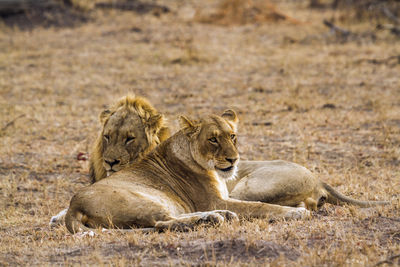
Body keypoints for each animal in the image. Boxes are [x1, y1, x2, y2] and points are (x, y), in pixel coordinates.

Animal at [65, 111, 310, 234]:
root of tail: (73, 207)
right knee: (161, 223)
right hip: (142, 200)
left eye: (232, 136)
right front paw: (297, 212)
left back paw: (221, 216)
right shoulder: (212, 200)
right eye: (212, 139)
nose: (233, 159)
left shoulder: (220, 199)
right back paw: (213, 218)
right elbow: (261, 206)